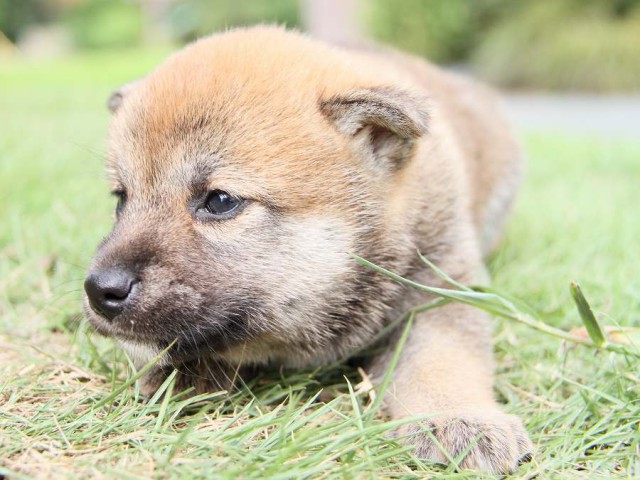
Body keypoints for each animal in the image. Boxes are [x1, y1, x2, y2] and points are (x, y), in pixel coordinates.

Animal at [86, 26, 536, 472]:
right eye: (121, 198)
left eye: (220, 201)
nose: (98, 290)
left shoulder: (442, 287)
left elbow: (441, 358)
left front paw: (460, 417)